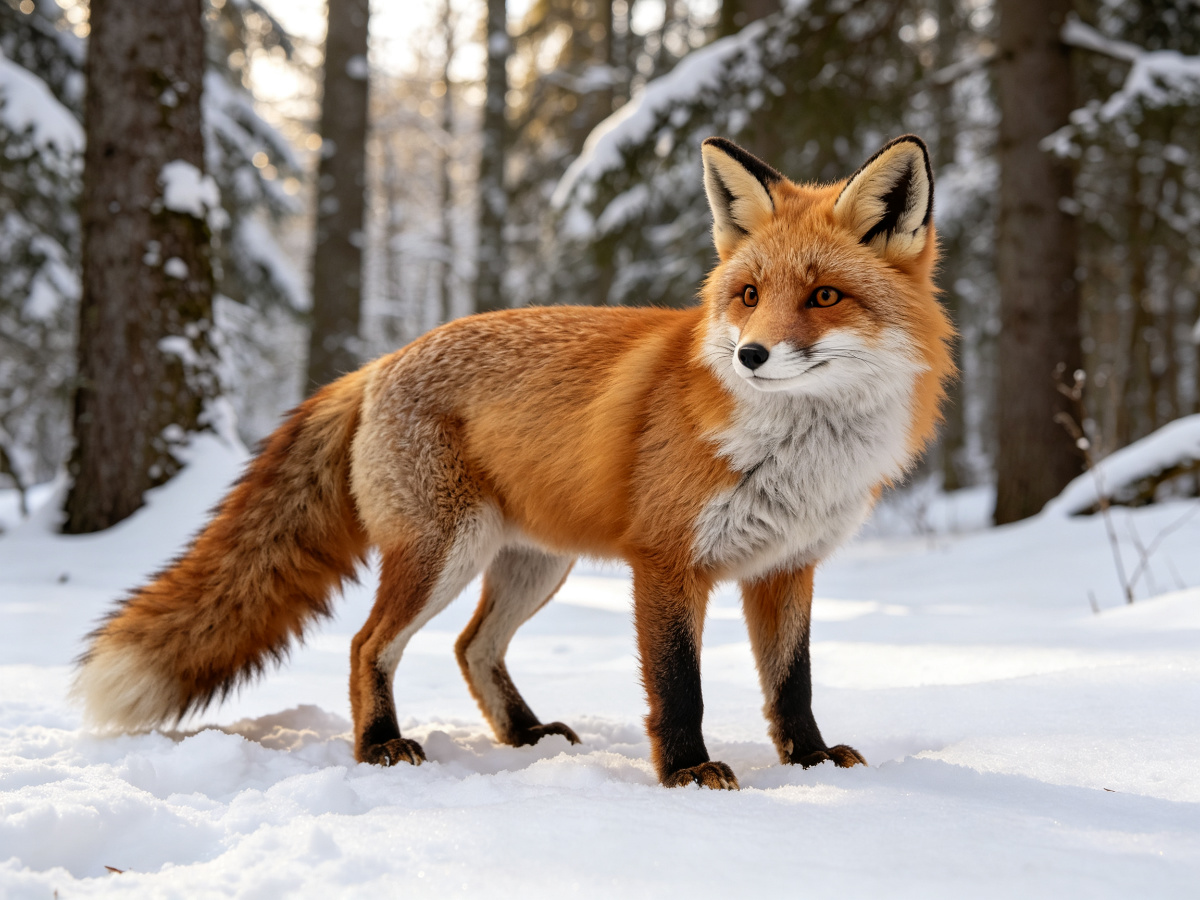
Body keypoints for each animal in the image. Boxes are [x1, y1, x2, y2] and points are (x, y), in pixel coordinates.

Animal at [73, 134, 953, 789]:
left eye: (825, 297)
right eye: (747, 295)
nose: (750, 355)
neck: (797, 453)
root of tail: (380, 361)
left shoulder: (787, 567)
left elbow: (791, 684)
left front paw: (811, 762)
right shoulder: (668, 563)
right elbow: (679, 688)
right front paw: (686, 772)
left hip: (533, 564)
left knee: (472, 647)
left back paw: (525, 734)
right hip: (442, 552)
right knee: (368, 645)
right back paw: (380, 746)